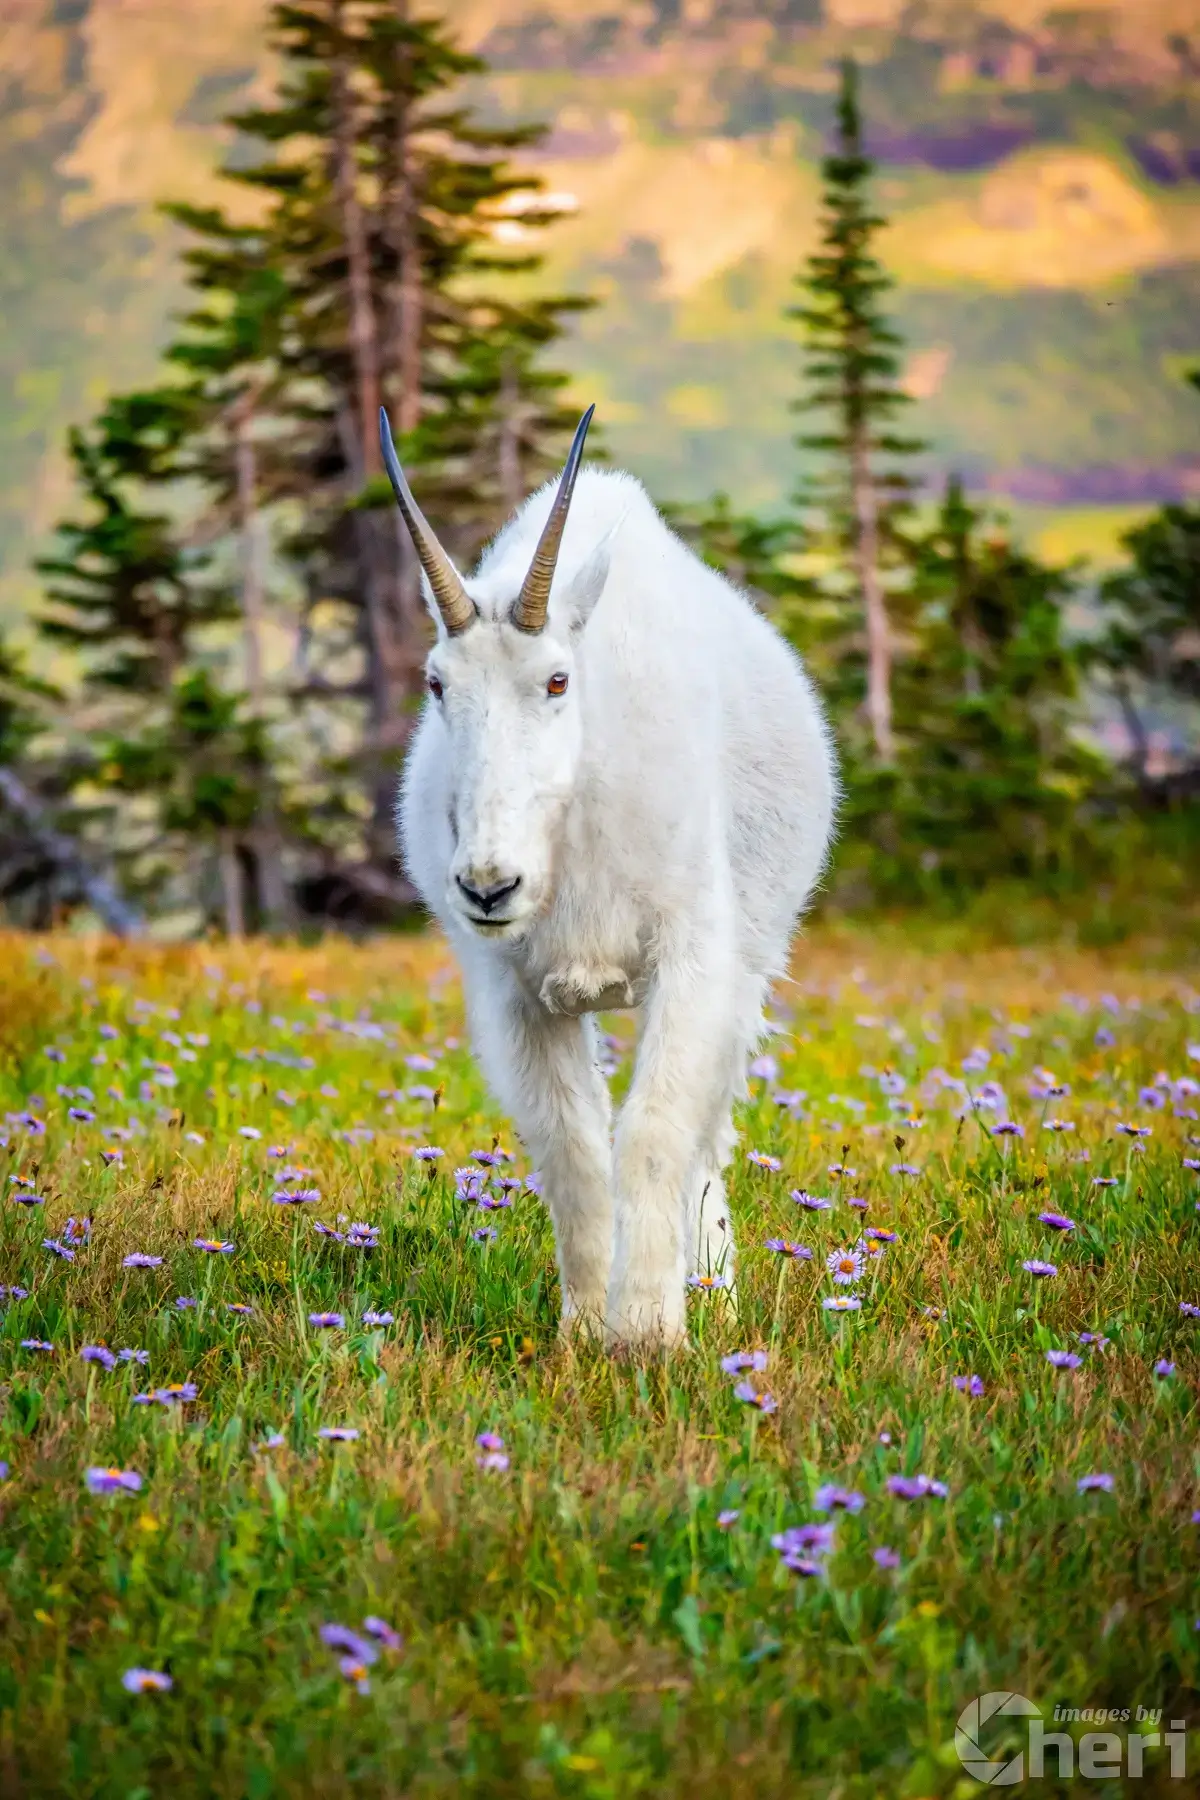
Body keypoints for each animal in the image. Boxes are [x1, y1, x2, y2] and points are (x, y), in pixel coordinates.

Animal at [382, 406, 837, 1346]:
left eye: (556, 680)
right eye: (437, 684)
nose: (489, 887)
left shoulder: (692, 961)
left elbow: (657, 1132)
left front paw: (650, 1335)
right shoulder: (518, 992)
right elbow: (573, 1147)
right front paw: (584, 1334)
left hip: (750, 964)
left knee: (709, 1134)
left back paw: (715, 1294)